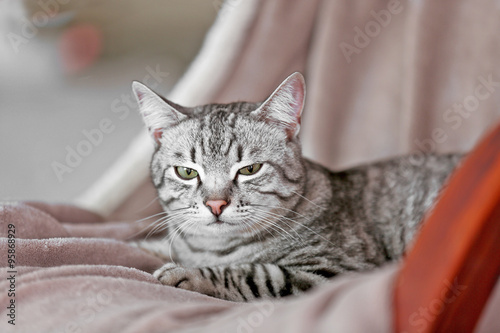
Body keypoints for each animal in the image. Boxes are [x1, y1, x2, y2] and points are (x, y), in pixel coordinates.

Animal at [132, 72, 460, 300]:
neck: (211, 249)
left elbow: (253, 274)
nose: (215, 204)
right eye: (187, 172)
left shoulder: (335, 273)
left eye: (250, 169)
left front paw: (185, 274)